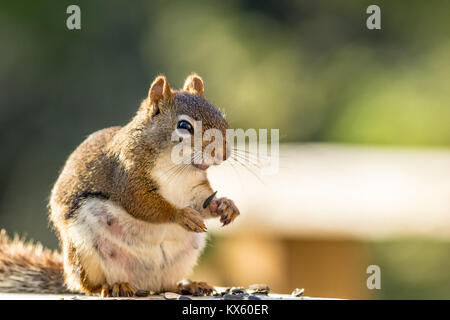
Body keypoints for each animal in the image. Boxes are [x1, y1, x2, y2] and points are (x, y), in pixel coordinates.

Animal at [0, 74, 241, 296]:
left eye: (222, 118)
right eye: (184, 125)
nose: (223, 153)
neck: (177, 169)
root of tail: (144, 283)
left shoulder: (194, 188)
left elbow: (203, 203)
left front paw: (226, 205)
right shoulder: (126, 177)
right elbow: (143, 205)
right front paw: (181, 215)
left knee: (166, 285)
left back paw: (188, 285)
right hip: (85, 251)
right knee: (88, 286)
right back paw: (111, 287)